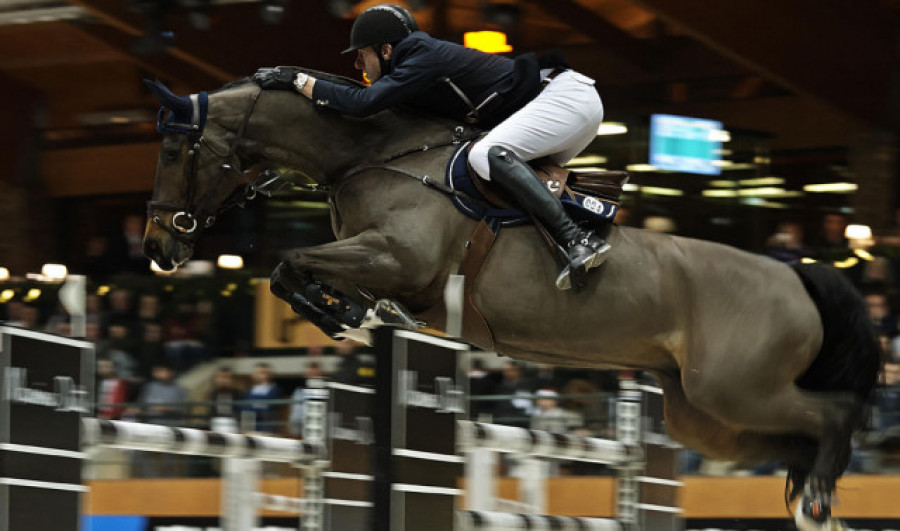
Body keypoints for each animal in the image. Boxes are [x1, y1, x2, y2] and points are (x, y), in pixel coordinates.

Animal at [141, 72, 880, 528]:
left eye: (176, 150)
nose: (157, 246)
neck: (374, 153)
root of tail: (796, 272)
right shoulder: (379, 264)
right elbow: (294, 273)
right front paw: (347, 314)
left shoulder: (398, 258)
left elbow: (288, 263)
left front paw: (343, 315)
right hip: (703, 413)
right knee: (796, 435)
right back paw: (810, 497)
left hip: (734, 388)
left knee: (833, 413)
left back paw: (816, 500)